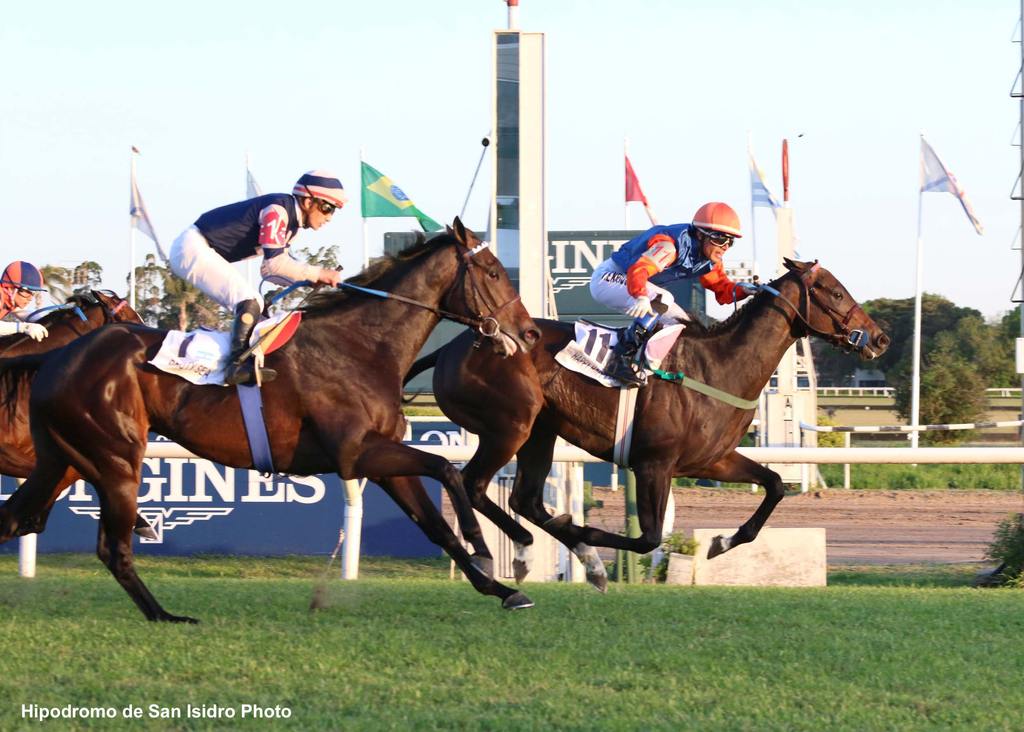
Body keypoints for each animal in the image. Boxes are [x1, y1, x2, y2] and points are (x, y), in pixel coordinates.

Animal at [0, 220, 544, 622]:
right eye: (493, 272)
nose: (530, 333)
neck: (360, 346)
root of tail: (57, 356)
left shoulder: (381, 460)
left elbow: (435, 525)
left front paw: (502, 588)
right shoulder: (357, 454)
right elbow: (447, 468)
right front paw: (490, 545)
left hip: (65, 461)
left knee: (18, 519)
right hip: (115, 460)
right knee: (111, 547)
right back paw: (166, 615)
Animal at [405, 261, 888, 585]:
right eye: (835, 292)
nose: (880, 338)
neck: (719, 366)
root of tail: (453, 346)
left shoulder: (712, 459)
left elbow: (773, 485)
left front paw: (723, 542)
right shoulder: (654, 463)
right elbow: (647, 539)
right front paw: (591, 545)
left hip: (540, 431)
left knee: (524, 499)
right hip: (509, 427)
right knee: (473, 483)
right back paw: (524, 553)